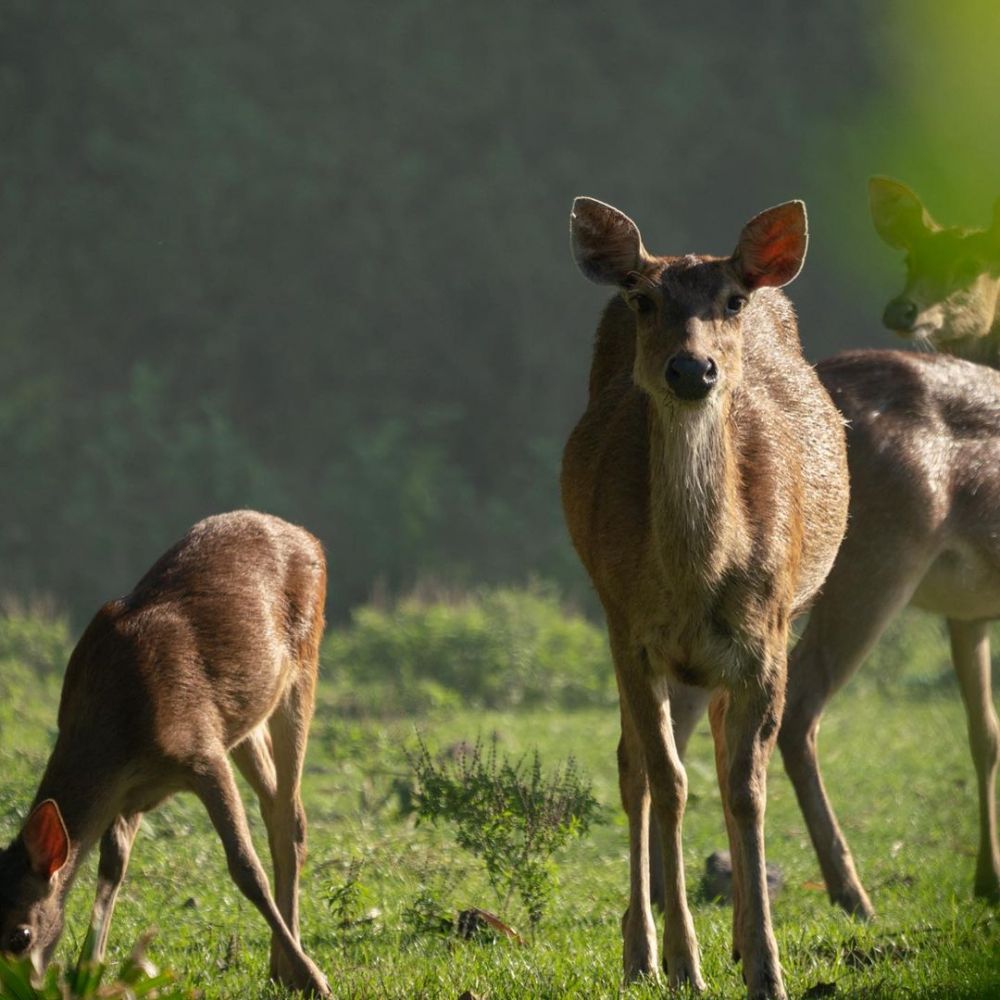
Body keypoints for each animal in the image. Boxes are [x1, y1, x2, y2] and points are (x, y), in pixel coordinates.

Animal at [0, 512, 332, 996]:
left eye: (21, 935)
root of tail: (308, 537)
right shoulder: (128, 792)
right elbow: (113, 868)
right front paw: (89, 968)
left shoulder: (201, 750)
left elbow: (244, 867)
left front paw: (315, 978)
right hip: (245, 719)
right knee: (277, 805)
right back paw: (279, 965)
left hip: (304, 664)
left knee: (289, 817)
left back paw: (294, 969)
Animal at [568, 191, 848, 996]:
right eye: (644, 299)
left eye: (731, 301)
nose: (693, 368)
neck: (697, 582)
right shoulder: (630, 632)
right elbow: (667, 781)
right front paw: (680, 961)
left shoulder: (768, 636)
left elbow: (746, 787)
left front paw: (766, 966)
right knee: (633, 767)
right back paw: (643, 952)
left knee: (721, 756)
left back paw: (733, 939)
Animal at [776, 178, 1000, 916]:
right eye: (910, 257)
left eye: (974, 263)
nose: (903, 308)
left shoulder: (970, 610)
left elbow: (984, 734)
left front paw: (988, 879)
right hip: (875, 561)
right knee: (794, 708)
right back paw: (851, 891)